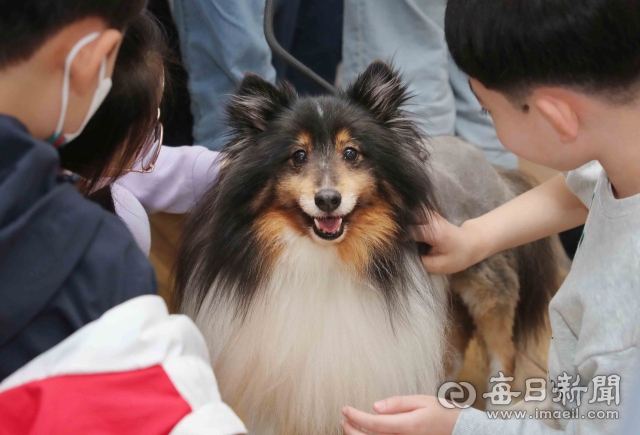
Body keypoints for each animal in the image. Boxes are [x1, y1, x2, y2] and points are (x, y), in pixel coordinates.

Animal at [176, 60, 560, 435]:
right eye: (298, 156)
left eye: (351, 153)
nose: (328, 199)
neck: (324, 255)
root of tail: (489, 165)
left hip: (486, 285)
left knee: (503, 352)